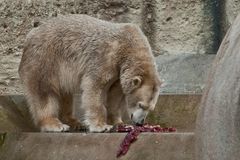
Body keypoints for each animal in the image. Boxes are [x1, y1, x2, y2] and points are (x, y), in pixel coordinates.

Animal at [18, 14, 161, 132]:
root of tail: (31, 34)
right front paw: (101, 126)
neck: (126, 45)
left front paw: (119, 123)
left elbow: (114, 95)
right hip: (45, 60)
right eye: (140, 105)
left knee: (65, 94)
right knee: (44, 92)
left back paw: (75, 122)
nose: (140, 122)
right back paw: (55, 124)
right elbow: (94, 87)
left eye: (151, 108)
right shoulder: (103, 58)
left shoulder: (118, 72)